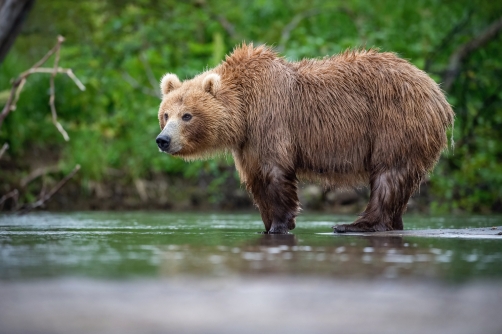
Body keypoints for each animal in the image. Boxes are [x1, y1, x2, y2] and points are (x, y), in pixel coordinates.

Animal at [157, 43, 454, 234]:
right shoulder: (247, 142)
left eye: (187, 115)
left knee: (388, 173)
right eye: (165, 114)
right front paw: (267, 223)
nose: (163, 140)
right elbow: (256, 179)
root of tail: (437, 92)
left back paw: (354, 225)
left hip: (395, 123)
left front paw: (279, 226)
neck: (244, 111)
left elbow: (275, 173)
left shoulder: (271, 121)